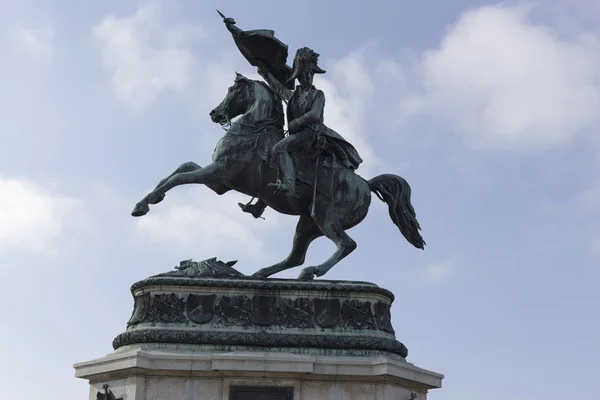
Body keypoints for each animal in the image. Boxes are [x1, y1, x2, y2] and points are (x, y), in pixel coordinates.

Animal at [132, 73, 424, 280]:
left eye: (232, 90)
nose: (215, 114)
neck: (251, 130)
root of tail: (365, 184)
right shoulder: (219, 182)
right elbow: (180, 169)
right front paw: (147, 200)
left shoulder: (219, 172)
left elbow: (179, 179)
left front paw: (146, 204)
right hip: (307, 224)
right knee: (296, 257)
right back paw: (260, 274)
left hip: (326, 217)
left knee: (346, 245)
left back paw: (311, 272)